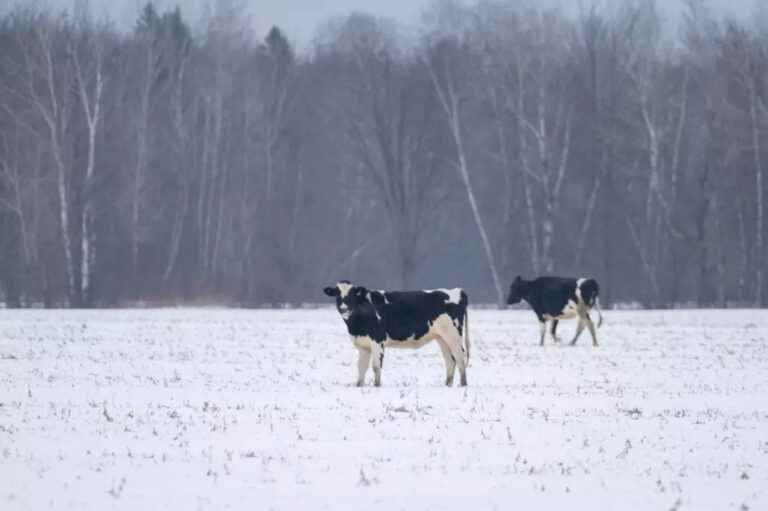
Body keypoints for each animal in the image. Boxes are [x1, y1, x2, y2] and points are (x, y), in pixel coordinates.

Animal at [322, 282, 472, 386]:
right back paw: (447, 385)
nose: (343, 308)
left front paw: (377, 386)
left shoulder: (378, 341)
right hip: (442, 338)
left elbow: (376, 367)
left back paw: (463, 384)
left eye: (352, 295)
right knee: (450, 361)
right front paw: (359, 386)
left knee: (460, 358)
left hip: (453, 336)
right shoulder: (363, 345)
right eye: (337, 294)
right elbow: (361, 368)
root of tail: (457, 290)